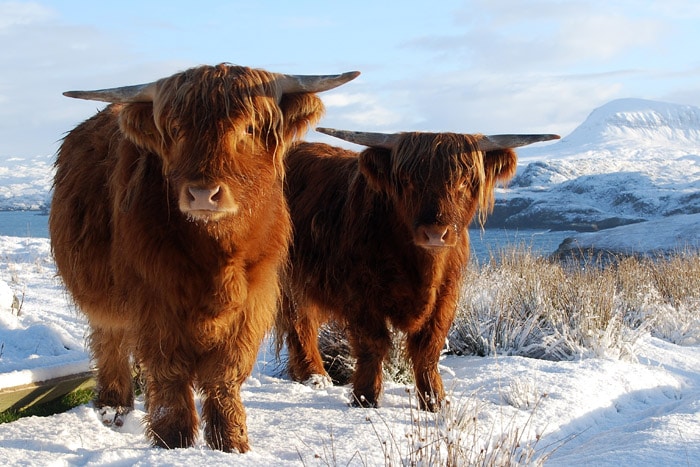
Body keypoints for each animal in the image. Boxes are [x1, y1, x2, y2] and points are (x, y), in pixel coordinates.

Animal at [49, 64, 358, 452]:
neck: (217, 257)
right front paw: (173, 440)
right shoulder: (156, 300)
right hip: (101, 292)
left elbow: (226, 372)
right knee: (110, 339)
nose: (202, 194)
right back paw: (114, 406)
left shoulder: (253, 299)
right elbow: (169, 370)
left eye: (248, 129)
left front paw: (232, 441)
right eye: (176, 131)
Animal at [276, 126, 560, 412]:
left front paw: (435, 401)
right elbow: (372, 345)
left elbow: (428, 348)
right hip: (289, 280)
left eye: (464, 181)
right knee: (300, 322)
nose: (435, 233)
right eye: (407, 180)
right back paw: (315, 376)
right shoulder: (361, 295)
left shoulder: (446, 295)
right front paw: (365, 398)